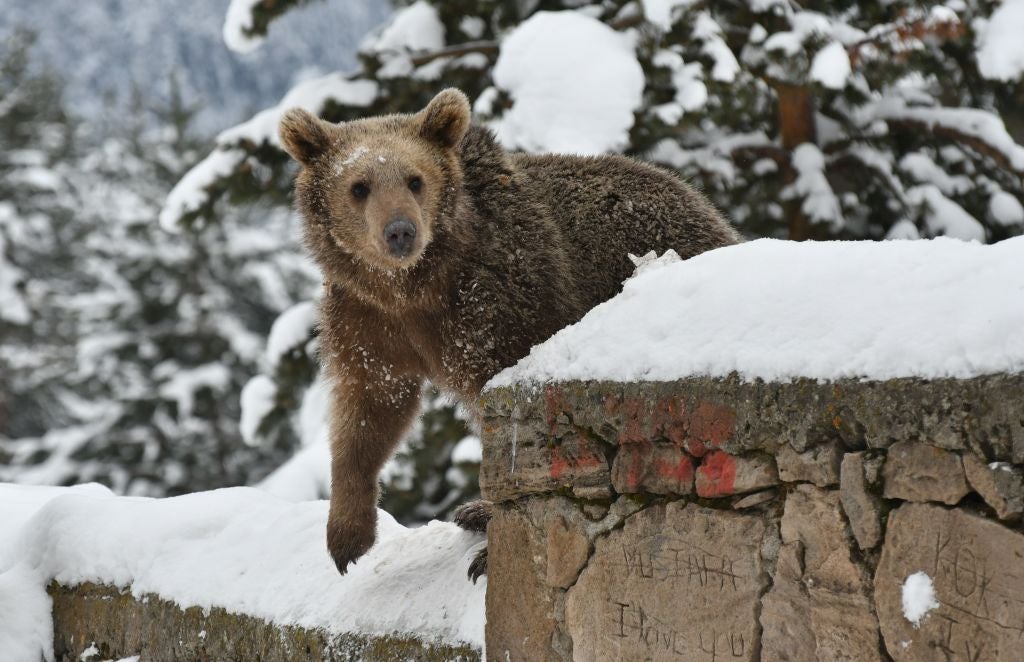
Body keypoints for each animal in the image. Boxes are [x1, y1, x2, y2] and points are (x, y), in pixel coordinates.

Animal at [278, 88, 739, 580]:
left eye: (415, 180)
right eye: (359, 186)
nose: (400, 231)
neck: (415, 286)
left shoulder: (500, 298)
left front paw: (489, 544)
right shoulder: (366, 317)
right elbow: (370, 409)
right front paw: (346, 538)